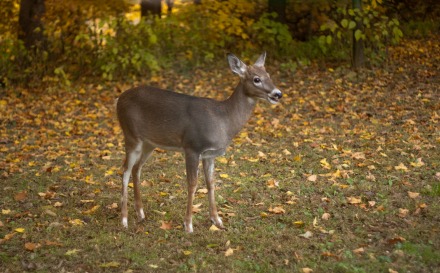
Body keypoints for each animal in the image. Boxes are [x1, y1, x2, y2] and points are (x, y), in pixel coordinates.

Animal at [116, 52, 282, 231]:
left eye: (269, 75)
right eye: (256, 79)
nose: (278, 94)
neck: (224, 120)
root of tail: (118, 99)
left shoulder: (210, 154)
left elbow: (211, 183)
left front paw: (217, 220)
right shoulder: (192, 147)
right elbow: (192, 184)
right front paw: (188, 225)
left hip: (149, 143)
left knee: (136, 169)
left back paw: (140, 213)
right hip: (131, 135)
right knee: (125, 170)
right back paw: (124, 220)